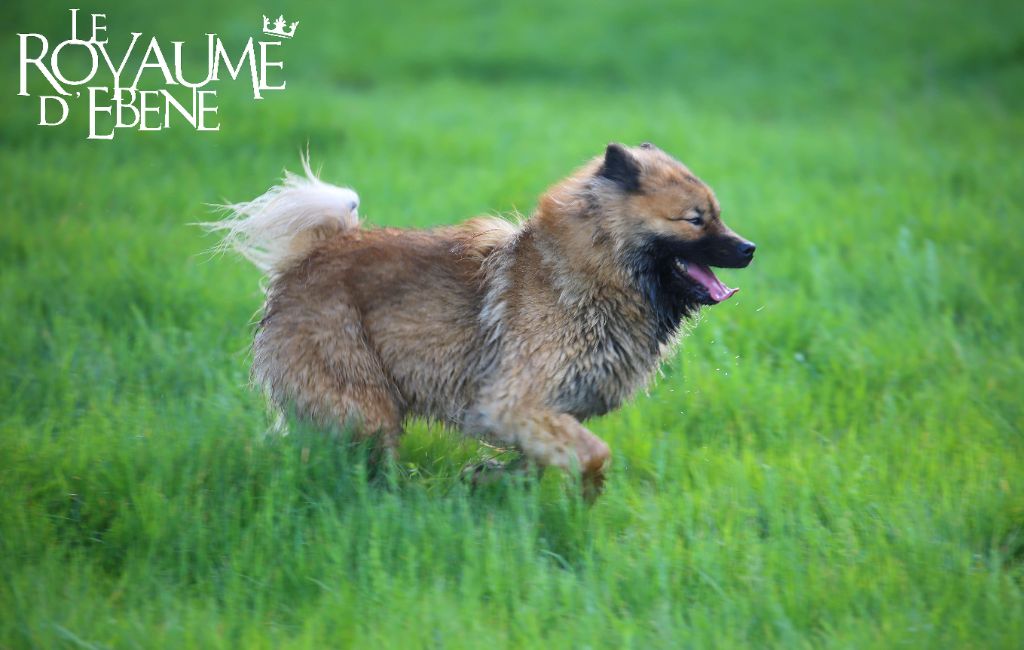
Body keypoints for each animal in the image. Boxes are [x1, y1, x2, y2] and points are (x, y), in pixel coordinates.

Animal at [205, 143, 753, 497]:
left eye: (719, 214)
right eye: (696, 219)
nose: (749, 249)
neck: (590, 274)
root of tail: (307, 257)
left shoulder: (543, 410)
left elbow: (538, 460)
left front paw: (488, 476)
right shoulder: (511, 401)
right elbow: (596, 454)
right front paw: (588, 495)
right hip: (363, 404)